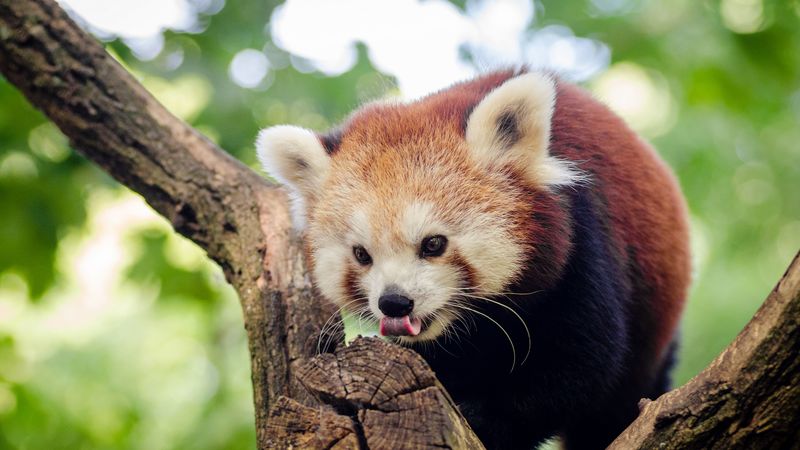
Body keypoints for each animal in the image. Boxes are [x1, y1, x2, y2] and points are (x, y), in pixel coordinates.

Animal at [256, 68, 691, 449]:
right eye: (362, 254)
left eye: (433, 244)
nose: (394, 302)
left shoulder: (582, 250)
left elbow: (581, 367)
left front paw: (484, 419)